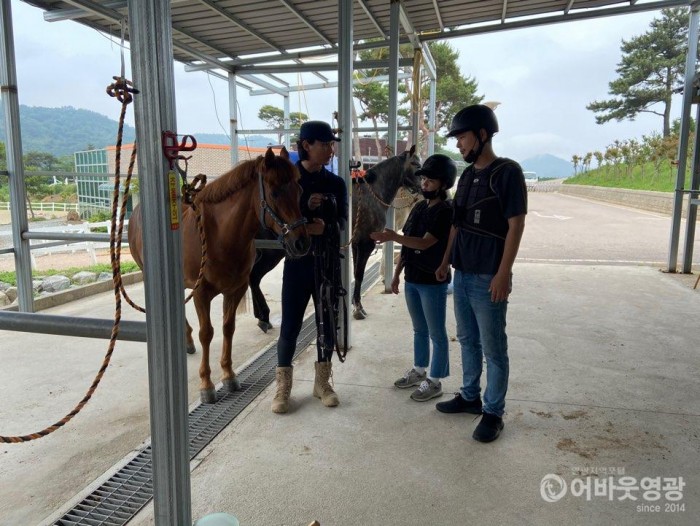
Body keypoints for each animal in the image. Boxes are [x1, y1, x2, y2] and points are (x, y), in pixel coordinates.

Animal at [129, 148, 308, 404]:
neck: (221, 235)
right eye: (274, 192)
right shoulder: (201, 293)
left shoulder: (235, 290)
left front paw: (229, 375)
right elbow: (207, 333)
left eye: (299, 190)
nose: (301, 242)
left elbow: (227, 328)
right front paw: (207, 385)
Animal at [252, 146, 422, 332]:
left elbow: (356, 273)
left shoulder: (356, 244)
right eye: (415, 164)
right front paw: (358, 309)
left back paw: (262, 317)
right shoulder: (366, 243)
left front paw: (356, 304)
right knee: (254, 277)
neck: (373, 194)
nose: (421, 188)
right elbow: (359, 274)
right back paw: (264, 317)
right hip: (271, 253)